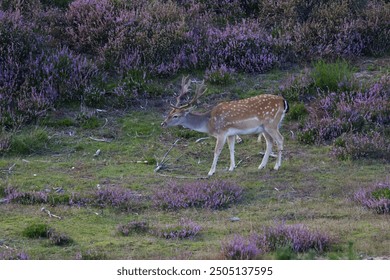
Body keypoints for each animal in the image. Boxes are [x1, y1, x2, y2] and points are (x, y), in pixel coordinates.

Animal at [160, 76, 288, 175]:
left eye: (175, 116)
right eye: (169, 113)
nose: (163, 123)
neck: (209, 123)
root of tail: (283, 101)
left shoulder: (221, 132)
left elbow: (217, 150)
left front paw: (211, 171)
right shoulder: (231, 133)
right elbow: (231, 148)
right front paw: (232, 167)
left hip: (271, 124)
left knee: (280, 139)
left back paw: (277, 166)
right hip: (265, 127)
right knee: (270, 142)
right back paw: (261, 165)